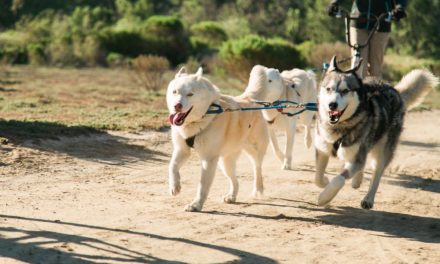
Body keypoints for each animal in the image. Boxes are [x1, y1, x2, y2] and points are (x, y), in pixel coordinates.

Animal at [167, 67, 268, 211]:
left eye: (190, 94)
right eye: (175, 92)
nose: (177, 106)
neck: (204, 116)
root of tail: (248, 99)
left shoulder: (208, 160)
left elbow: (202, 186)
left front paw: (196, 205)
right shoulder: (182, 150)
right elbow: (172, 166)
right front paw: (175, 186)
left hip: (255, 151)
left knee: (257, 168)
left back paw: (258, 190)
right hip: (225, 163)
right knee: (235, 181)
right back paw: (231, 196)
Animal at [314, 56, 438, 209]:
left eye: (345, 90)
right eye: (328, 89)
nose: (332, 105)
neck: (340, 127)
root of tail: (394, 90)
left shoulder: (355, 158)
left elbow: (339, 179)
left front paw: (324, 197)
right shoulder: (322, 149)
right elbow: (318, 177)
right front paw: (325, 182)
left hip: (383, 151)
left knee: (377, 174)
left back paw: (368, 199)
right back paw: (357, 181)